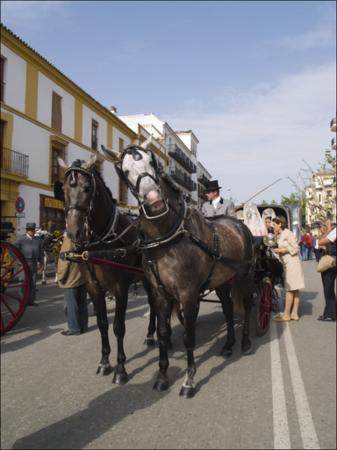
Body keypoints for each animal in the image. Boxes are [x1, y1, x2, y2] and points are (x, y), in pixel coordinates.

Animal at [57, 155, 156, 384]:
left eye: (87, 188)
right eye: (64, 189)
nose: (74, 232)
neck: (102, 240)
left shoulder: (120, 288)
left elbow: (118, 326)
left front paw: (120, 369)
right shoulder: (93, 287)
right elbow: (103, 323)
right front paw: (104, 362)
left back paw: (152, 336)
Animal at [103, 141, 255, 398]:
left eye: (153, 162)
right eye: (124, 171)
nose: (154, 200)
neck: (167, 238)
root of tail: (239, 225)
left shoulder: (188, 293)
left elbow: (188, 337)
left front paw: (188, 380)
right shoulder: (160, 293)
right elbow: (163, 333)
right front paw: (162, 376)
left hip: (244, 277)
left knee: (245, 307)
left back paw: (245, 342)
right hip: (222, 282)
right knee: (227, 309)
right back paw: (228, 345)